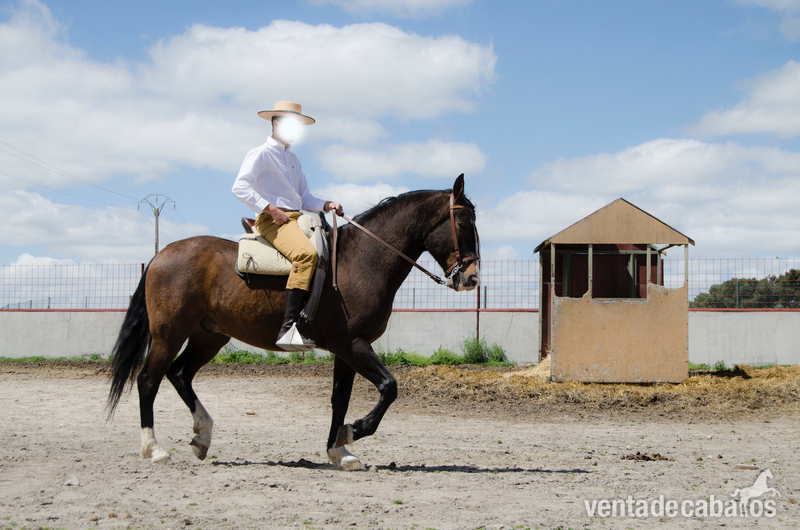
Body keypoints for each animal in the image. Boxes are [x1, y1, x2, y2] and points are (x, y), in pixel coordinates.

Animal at [106, 174, 480, 470]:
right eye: (463, 224)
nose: (472, 278)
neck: (360, 260)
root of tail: (161, 254)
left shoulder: (346, 351)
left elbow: (340, 399)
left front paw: (339, 451)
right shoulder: (352, 344)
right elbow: (389, 387)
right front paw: (352, 432)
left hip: (208, 336)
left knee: (180, 374)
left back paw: (202, 435)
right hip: (169, 334)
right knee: (148, 380)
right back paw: (154, 449)